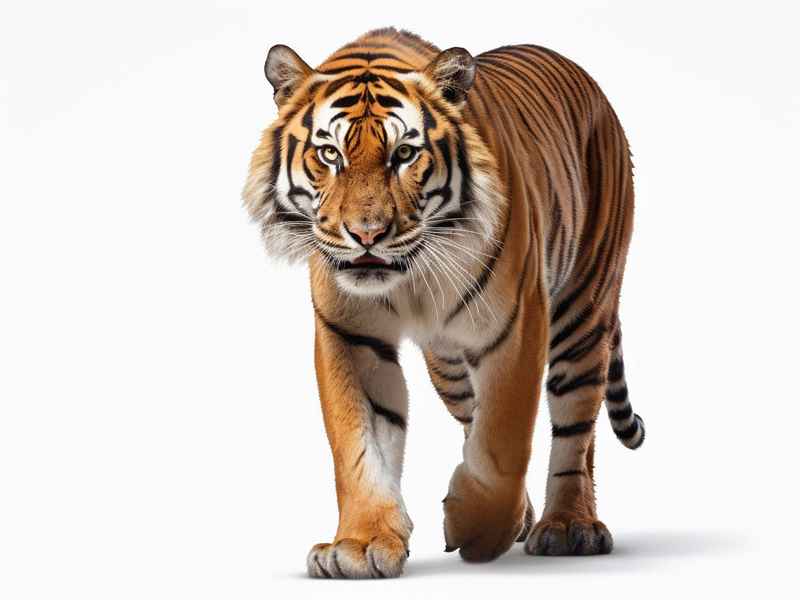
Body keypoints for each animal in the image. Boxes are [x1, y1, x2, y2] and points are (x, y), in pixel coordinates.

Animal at [243, 27, 645, 578]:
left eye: (404, 154)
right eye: (329, 155)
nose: (366, 234)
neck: (407, 279)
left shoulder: (517, 325)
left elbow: (502, 444)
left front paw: (480, 529)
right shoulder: (350, 335)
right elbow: (359, 446)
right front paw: (361, 545)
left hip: (584, 311)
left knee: (575, 430)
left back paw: (568, 526)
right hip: (449, 367)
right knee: (474, 414)